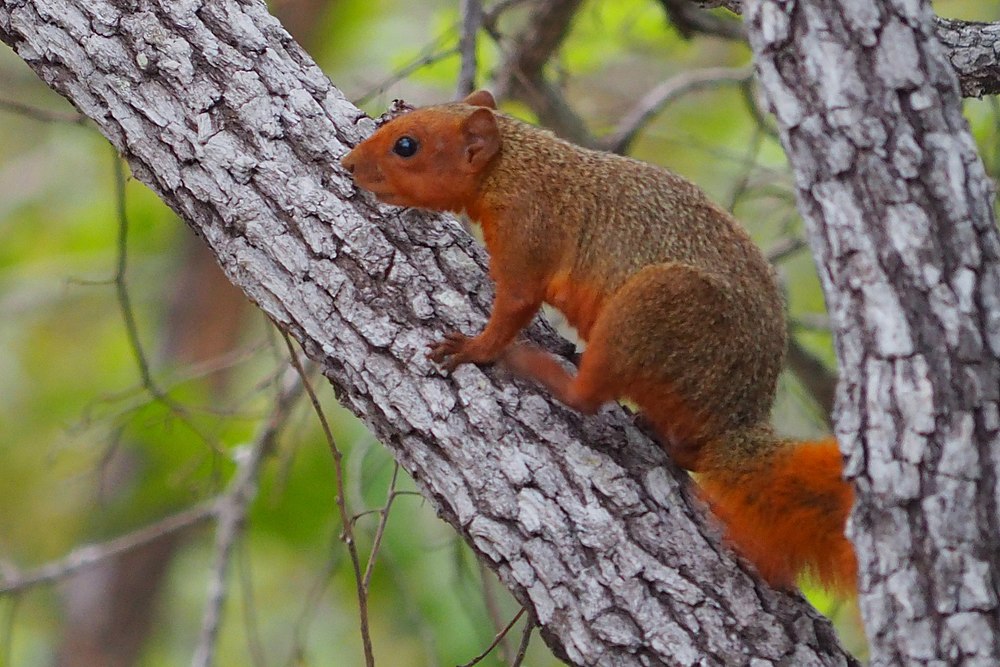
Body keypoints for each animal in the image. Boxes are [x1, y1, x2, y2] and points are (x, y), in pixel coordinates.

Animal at [340, 90, 856, 596]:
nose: (347, 165)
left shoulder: (530, 226)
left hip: (655, 309)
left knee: (586, 397)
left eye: (407, 145)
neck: (514, 165)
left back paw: (541, 367)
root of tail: (736, 421)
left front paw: (473, 349)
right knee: (685, 449)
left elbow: (515, 304)